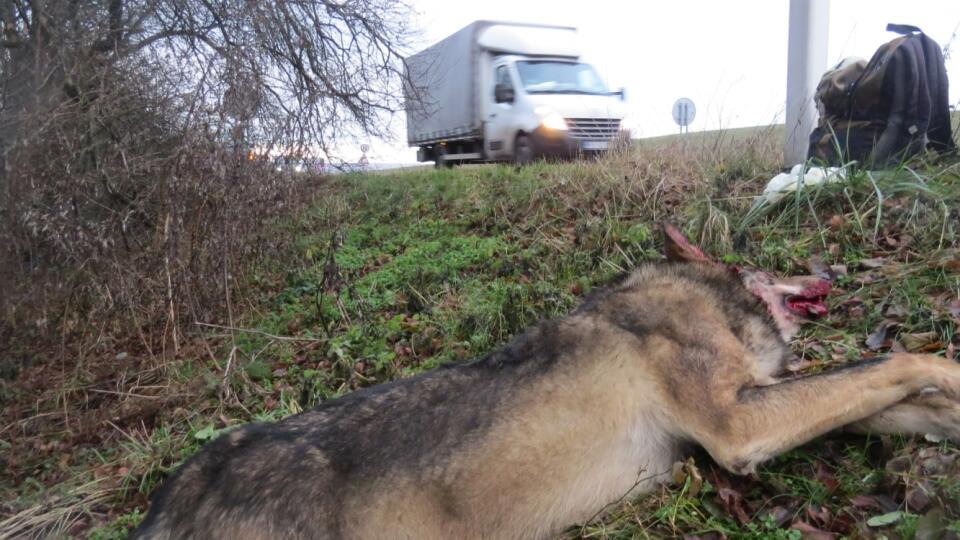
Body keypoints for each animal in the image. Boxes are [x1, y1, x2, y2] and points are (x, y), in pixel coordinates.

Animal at [133, 225, 960, 540]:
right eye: (774, 260)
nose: (831, 269)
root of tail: (171, 498)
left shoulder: (749, 416)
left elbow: (893, 398)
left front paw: (947, 416)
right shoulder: (736, 427)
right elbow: (899, 361)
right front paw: (948, 371)